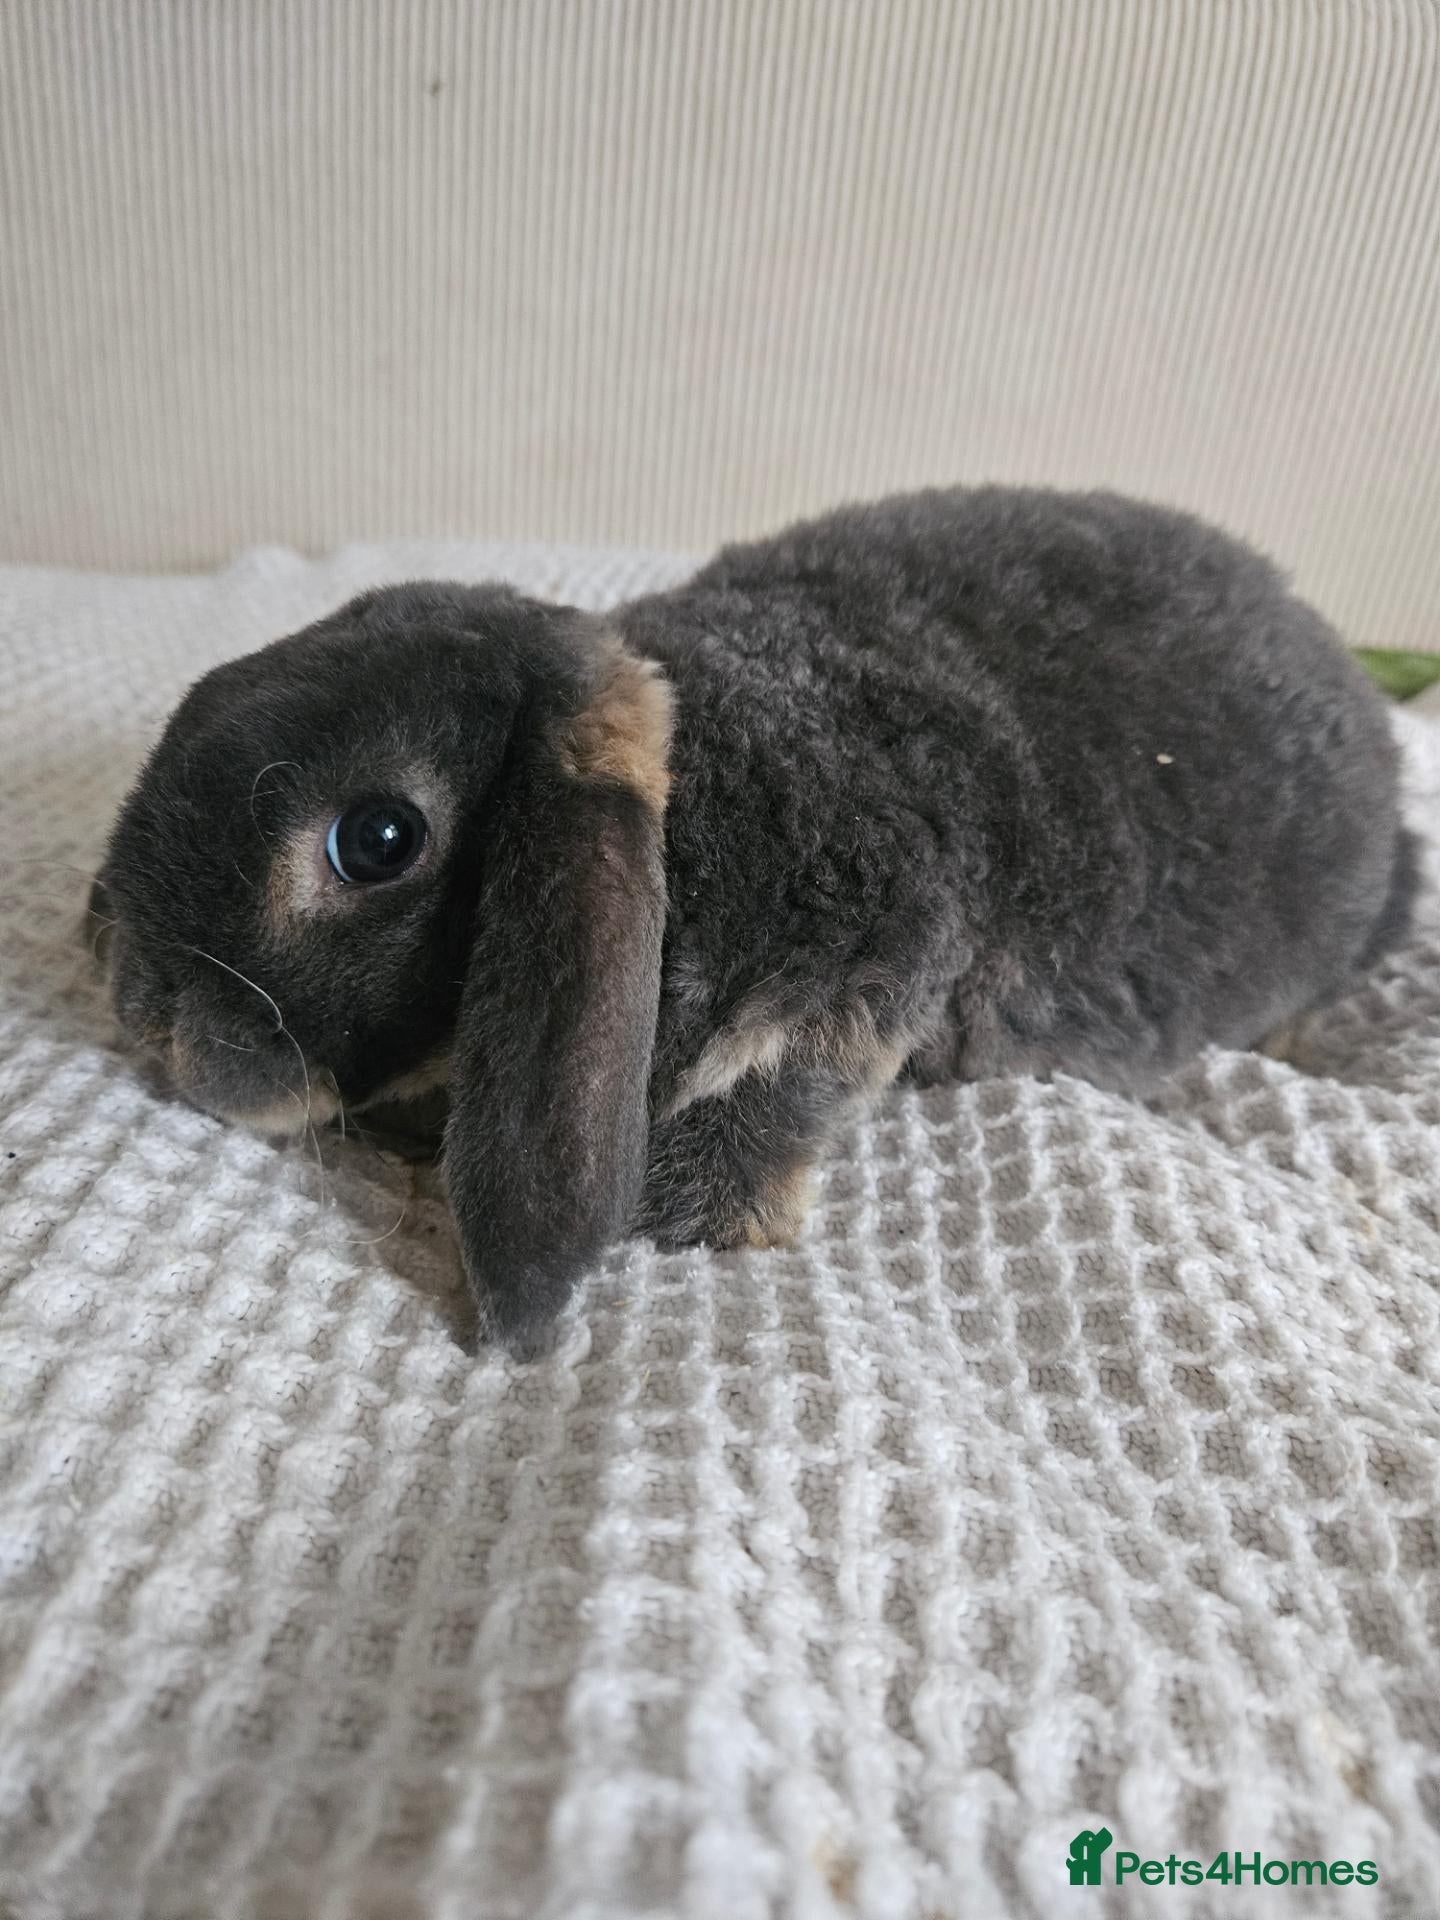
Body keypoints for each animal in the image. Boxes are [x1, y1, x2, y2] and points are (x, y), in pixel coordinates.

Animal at [95, 486, 1417, 1346]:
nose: (137, 1006)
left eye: (376, 840)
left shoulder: (867, 962)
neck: (699, 796)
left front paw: (703, 1220)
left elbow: (770, 1087)